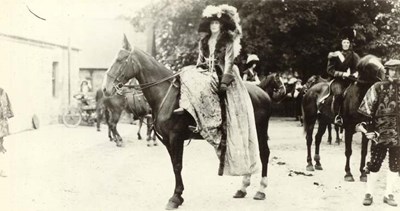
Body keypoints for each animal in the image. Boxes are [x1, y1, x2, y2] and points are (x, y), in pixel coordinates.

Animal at [101, 38, 274, 209]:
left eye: (120, 60)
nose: (105, 89)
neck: (166, 95)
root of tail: (262, 93)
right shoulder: (167, 140)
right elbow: (174, 165)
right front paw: (179, 196)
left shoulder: (175, 138)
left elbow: (178, 165)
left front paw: (175, 197)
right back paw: (243, 188)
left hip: (259, 130)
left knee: (264, 153)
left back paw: (261, 190)